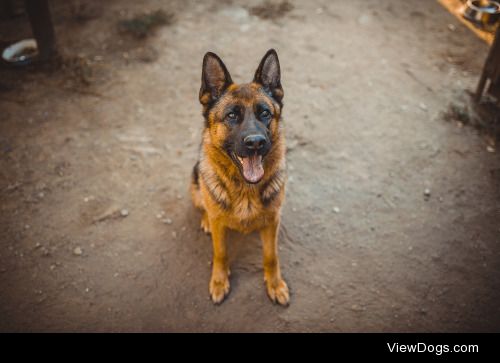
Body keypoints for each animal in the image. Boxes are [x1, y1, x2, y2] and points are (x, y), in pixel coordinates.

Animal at [189, 49, 290, 306]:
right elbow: (220, 253)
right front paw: (219, 281)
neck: (246, 189)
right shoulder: (219, 227)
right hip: (195, 184)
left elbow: (271, 256)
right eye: (232, 115)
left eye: (265, 113)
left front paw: (275, 284)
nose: (255, 143)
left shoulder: (272, 222)